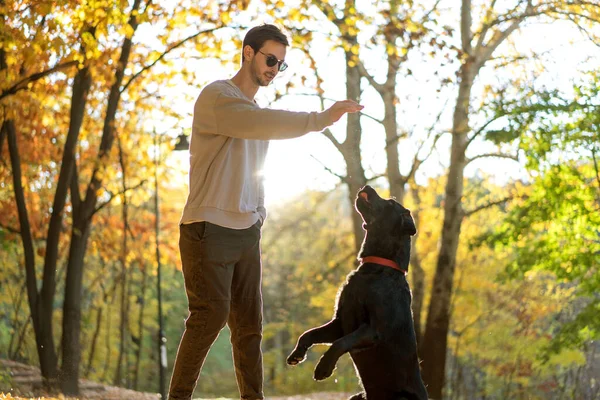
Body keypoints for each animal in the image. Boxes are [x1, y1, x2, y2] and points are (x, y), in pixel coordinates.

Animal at [286, 186, 426, 398]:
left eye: (390, 203)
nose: (367, 187)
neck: (375, 268)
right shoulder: (339, 323)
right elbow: (308, 334)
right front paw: (297, 354)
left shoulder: (373, 329)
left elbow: (340, 343)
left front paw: (323, 368)